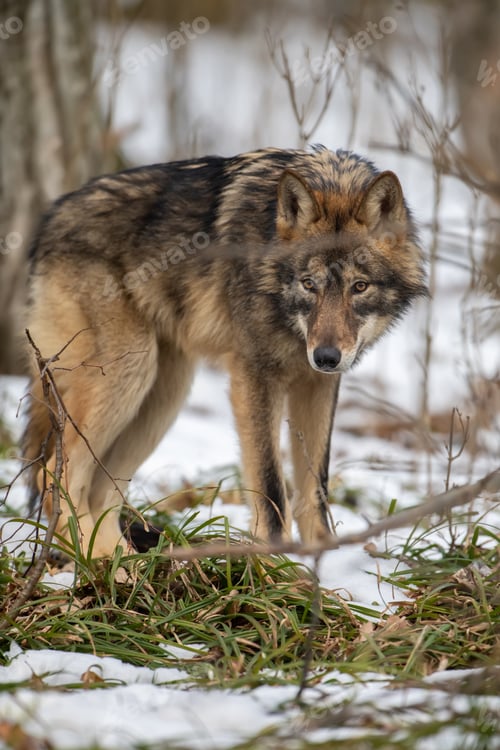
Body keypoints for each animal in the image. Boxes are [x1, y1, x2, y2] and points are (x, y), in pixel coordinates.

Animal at [24, 146, 427, 557]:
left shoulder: (318, 384)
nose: (326, 357)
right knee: (55, 477)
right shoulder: (255, 375)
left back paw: (126, 564)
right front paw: (280, 565)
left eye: (359, 286)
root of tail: (51, 219)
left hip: (162, 397)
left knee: (101, 494)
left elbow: (316, 489)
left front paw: (325, 561)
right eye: (308, 284)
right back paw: (106, 563)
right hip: (131, 372)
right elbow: (270, 487)